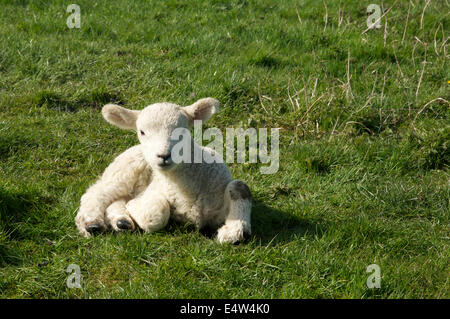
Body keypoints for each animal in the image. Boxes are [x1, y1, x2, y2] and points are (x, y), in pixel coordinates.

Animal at [73, 99, 250, 244]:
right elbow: (154, 214)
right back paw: (92, 223)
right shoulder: (153, 193)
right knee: (96, 193)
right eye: (142, 132)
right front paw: (134, 208)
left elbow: (240, 186)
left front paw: (233, 231)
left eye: (183, 131)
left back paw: (121, 221)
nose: (164, 155)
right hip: (125, 171)